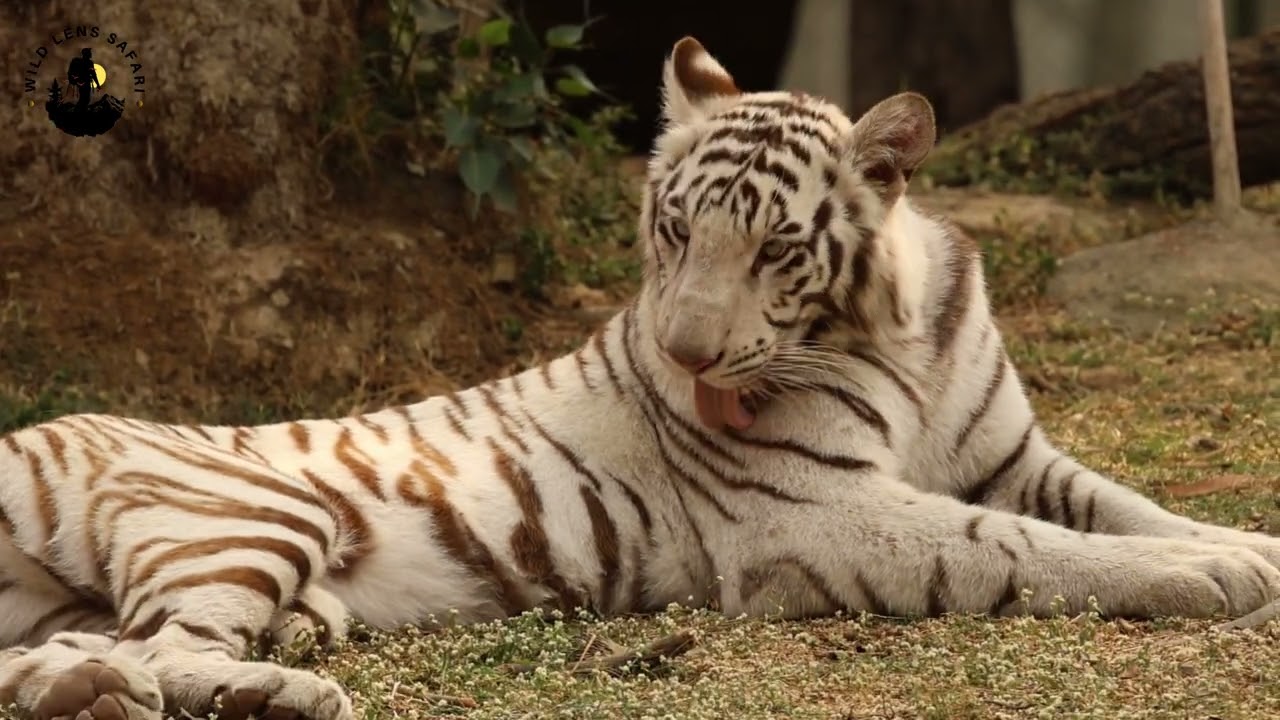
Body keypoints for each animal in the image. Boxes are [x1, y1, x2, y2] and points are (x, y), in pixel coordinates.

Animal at [2, 34, 1279, 720]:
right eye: (673, 228)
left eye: (774, 248)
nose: (686, 356)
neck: (894, 336)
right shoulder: (813, 512)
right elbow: (1025, 547)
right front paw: (1206, 579)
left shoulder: (1012, 455)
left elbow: (1122, 506)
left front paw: (1243, 547)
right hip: (245, 515)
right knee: (167, 649)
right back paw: (281, 693)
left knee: (81, 661)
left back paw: (119, 689)